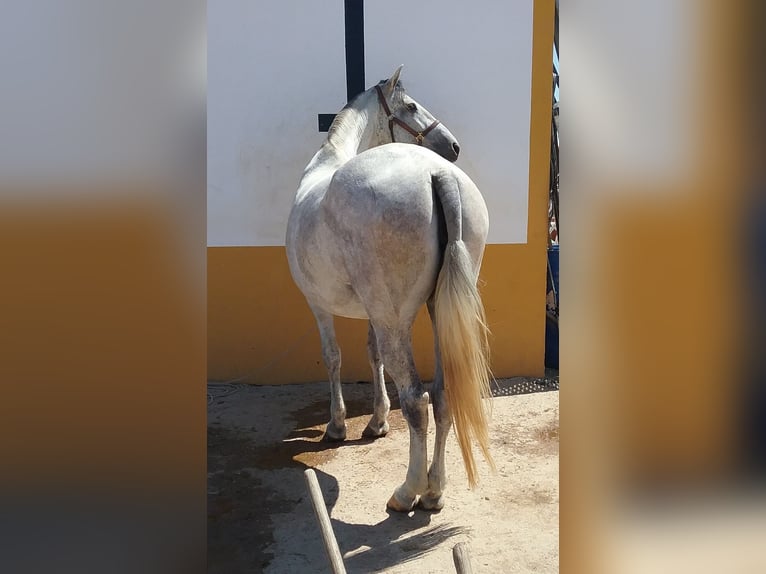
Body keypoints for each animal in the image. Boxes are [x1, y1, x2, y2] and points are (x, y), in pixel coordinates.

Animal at [284, 66, 496, 512]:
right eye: (411, 106)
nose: (452, 146)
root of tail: (438, 174)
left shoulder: (319, 304)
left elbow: (333, 357)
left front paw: (337, 426)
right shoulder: (371, 313)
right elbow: (373, 355)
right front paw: (377, 421)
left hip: (395, 320)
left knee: (416, 399)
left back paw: (407, 492)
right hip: (430, 314)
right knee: (442, 394)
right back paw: (434, 491)